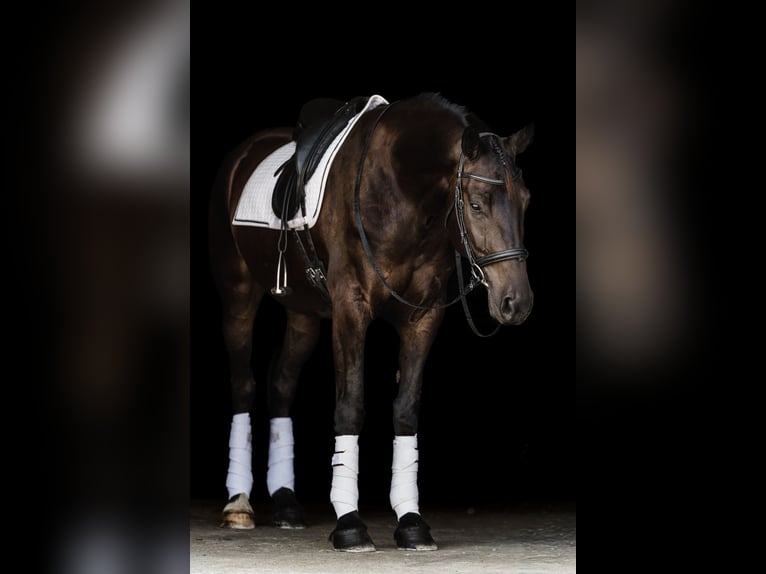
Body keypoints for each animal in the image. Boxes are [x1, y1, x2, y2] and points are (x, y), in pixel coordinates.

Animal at [208, 93, 534, 551]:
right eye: (475, 204)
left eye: (525, 201)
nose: (516, 302)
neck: (402, 194)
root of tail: (242, 154)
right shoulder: (351, 307)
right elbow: (350, 407)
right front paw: (349, 524)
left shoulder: (423, 316)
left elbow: (406, 410)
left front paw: (412, 522)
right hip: (238, 296)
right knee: (243, 385)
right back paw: (238, 504)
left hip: (303, 313)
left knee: (281, 384)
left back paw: (287, 503)